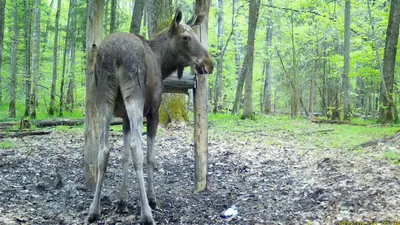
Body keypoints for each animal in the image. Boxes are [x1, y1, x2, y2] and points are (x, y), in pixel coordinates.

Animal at [86, 8, 214, 223]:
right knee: (137, 148)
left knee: (103, 150)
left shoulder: (124, 118)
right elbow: (150, 157)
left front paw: (122, 201)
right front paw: (152, 200)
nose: (209, 63)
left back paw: (93, 210)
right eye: (186, 37)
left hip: (103, 99)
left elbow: (124, 156)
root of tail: (116, 54)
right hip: (135, 98)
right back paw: (146, 213)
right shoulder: (154, 111)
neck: (162, 63)